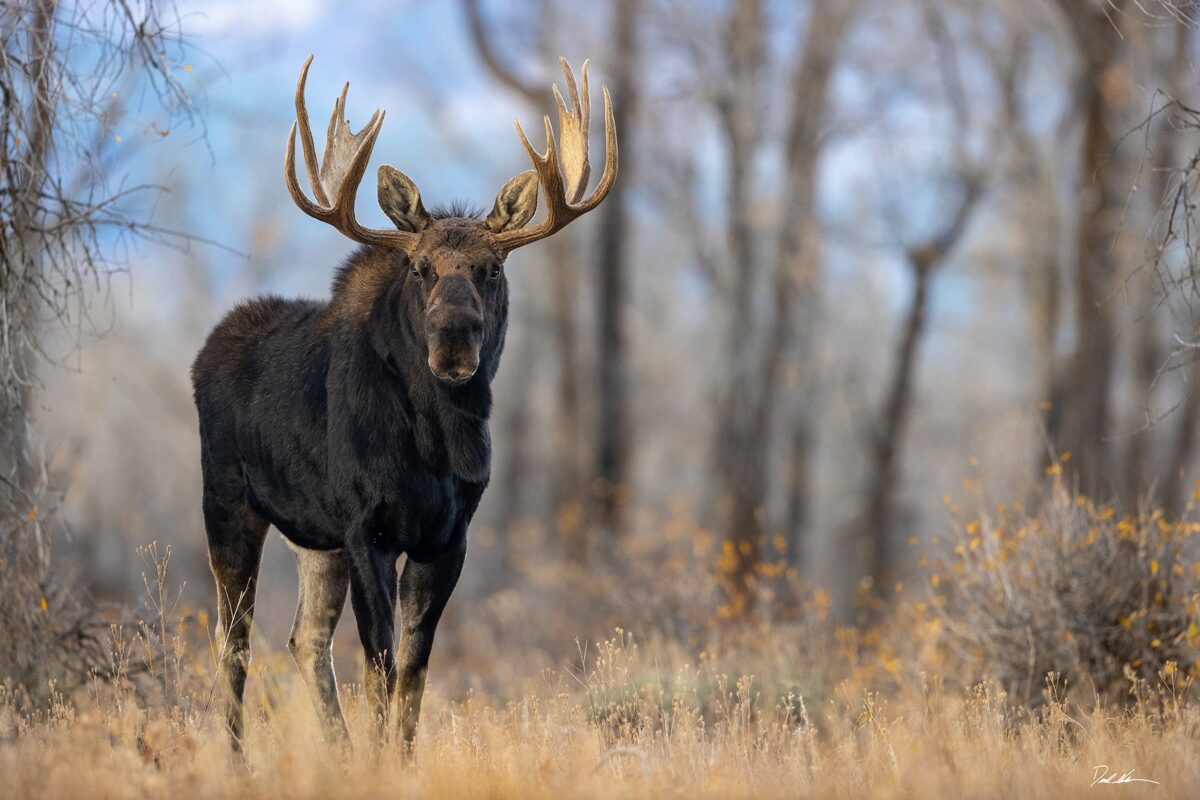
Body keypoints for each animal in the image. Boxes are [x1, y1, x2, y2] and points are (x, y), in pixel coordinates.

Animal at [193, 54, 619, 753]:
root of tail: (204, 352)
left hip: (314, 537)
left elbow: (415, 672)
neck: (436, 447)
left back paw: (335, 754)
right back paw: (236, 762)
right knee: (233, 643)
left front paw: (394, 760)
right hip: (228, 503)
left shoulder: (447, 536)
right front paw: (376, 760)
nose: (454, 337)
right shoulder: (367, 527)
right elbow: (381, 664)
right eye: (421, 268)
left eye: (493, 269)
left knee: (304, 638)